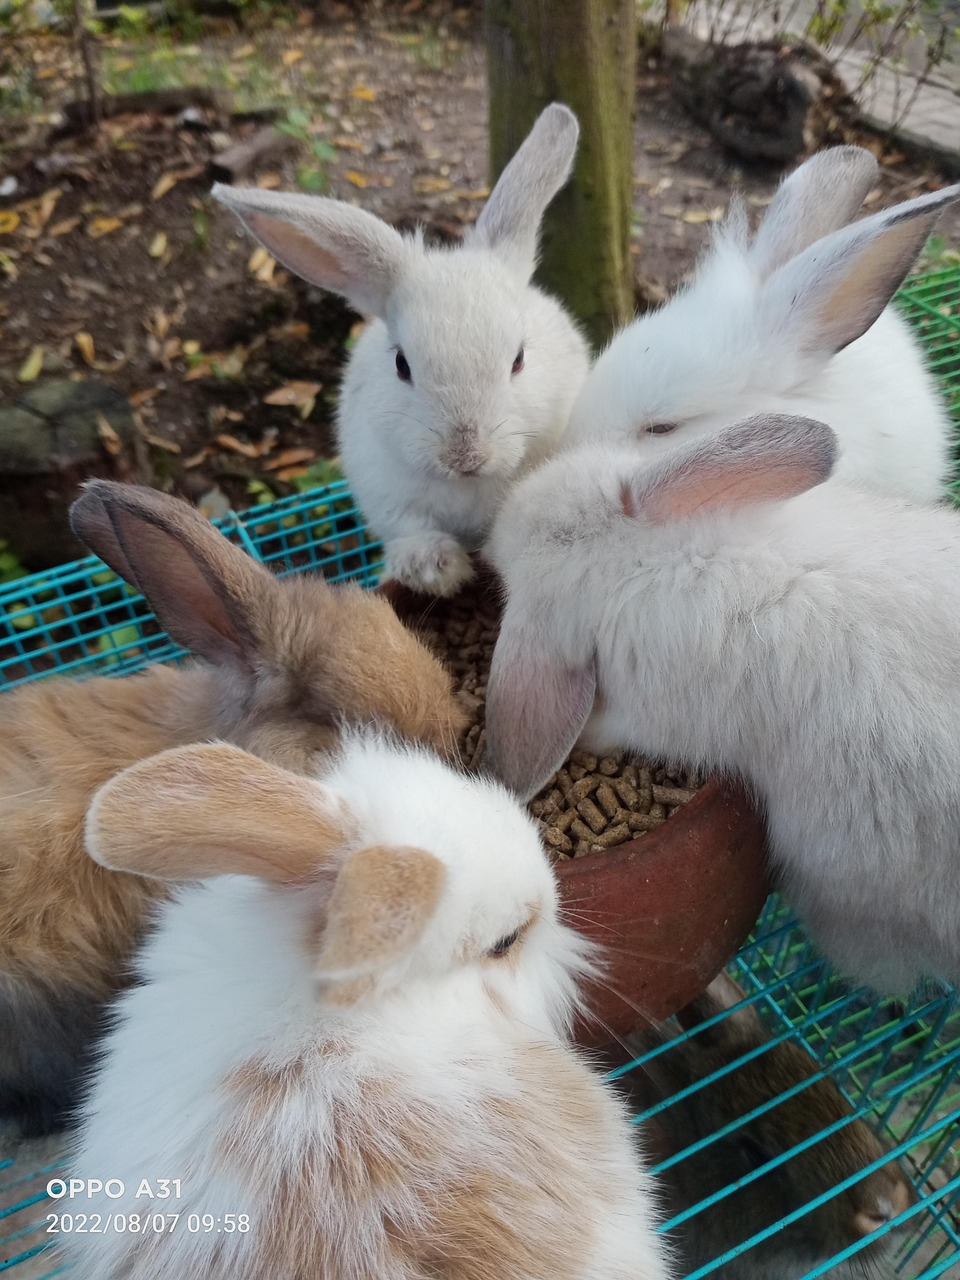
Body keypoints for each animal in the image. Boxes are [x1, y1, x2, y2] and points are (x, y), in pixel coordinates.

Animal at [213, 103, 590, 598]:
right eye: (401, 365)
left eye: (519, 359)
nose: (465, 457)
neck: (467, 488)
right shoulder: (387, 497)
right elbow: (412, 530)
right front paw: (435, 569)